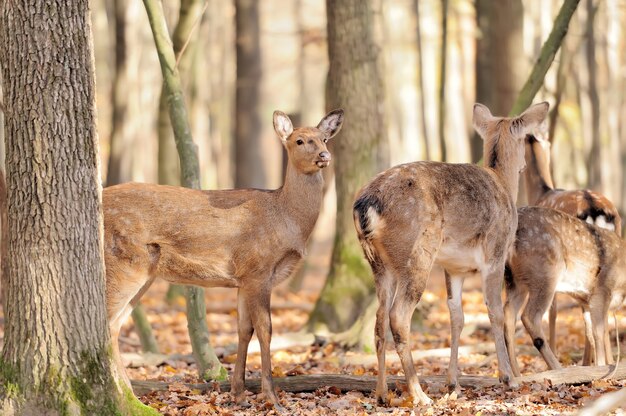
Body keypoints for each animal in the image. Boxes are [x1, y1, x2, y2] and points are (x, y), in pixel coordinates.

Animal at [104, 109, 344, 408]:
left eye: (324, 138)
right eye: (299, 140)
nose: (324, 155)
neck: (286, 217)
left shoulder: (243, 278)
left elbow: (243, 330)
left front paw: (238, 394)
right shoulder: (258, 269)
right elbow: (266, 329)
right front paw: (271, 397)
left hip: (144, 273)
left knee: (115, 325)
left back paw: (130, 395)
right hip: (123, 262)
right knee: (106, 322)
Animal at [354, 101, 548, 406]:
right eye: (525, 140)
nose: (524, 165)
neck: (503, 184)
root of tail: (366, 206)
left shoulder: (453, 267)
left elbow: (457, 317)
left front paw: (452, 382)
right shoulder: (495, 254)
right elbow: (496, 312)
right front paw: (509, 378)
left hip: (379, 263)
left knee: (379, 319)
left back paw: (382, 394)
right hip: (416, 252)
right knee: (399, 316)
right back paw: (419, 394)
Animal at [502, 206, 624, 376]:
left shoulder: (586, 301)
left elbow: (594, 332)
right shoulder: (602, 289)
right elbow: (599, 332)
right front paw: (602, 370)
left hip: (514, 280)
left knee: (508, 314)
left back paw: (517, 375)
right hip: (545, 272)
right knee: (529, 316)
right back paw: (558, 370)